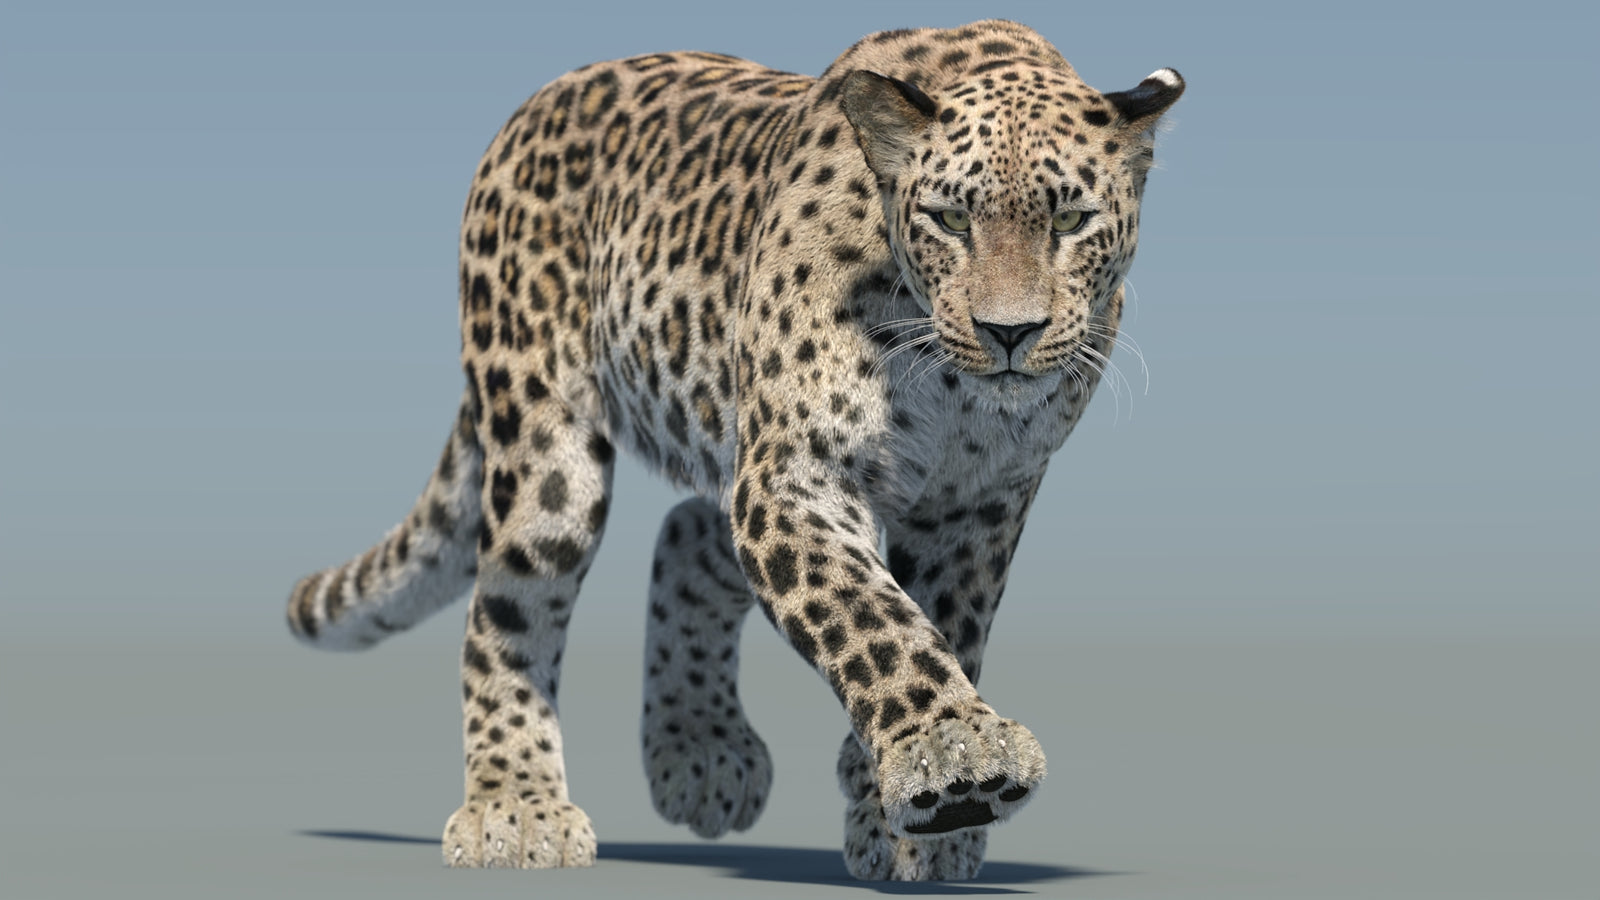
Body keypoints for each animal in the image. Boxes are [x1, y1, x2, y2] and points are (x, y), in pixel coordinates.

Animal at [285, 19, 1182, 881]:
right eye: (951, 219)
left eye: (1070, 221)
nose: (1009, 332)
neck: (952, 389)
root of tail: (533, 106)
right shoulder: (793, 478)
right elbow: (874, 618)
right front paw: (954, 759)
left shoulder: (975, 504)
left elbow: (946, 624)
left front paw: (903, 821)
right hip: (546, 452)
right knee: (506, 608)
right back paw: (516, 807)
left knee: (688, 529)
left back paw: (701, 753)